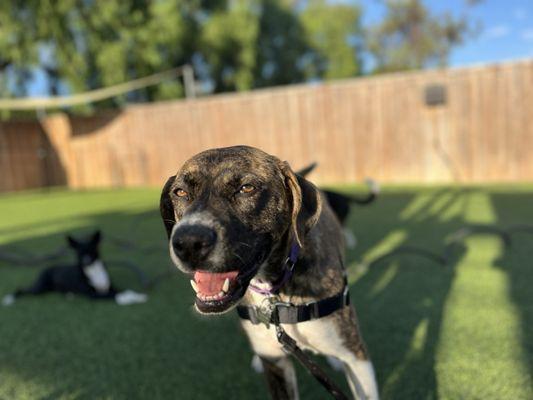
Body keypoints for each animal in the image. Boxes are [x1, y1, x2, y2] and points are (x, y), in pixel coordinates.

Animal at [1, 231, 147, 306]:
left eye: (91, 250)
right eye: (79, 253)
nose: (86, 262)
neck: (94, 271)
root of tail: (46, 268)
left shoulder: (110, 287)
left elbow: (124, 290)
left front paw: (138, 296)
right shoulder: (92, 295)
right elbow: (116, 295)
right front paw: (128, 300)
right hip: (39, 288)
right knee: (21, 289)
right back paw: (9, 299)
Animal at [158, 146, 378, 400]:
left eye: (247, 188)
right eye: (180, 192)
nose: (188, 242)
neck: (275, 291)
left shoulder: (358, 359)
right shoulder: (276, 365)